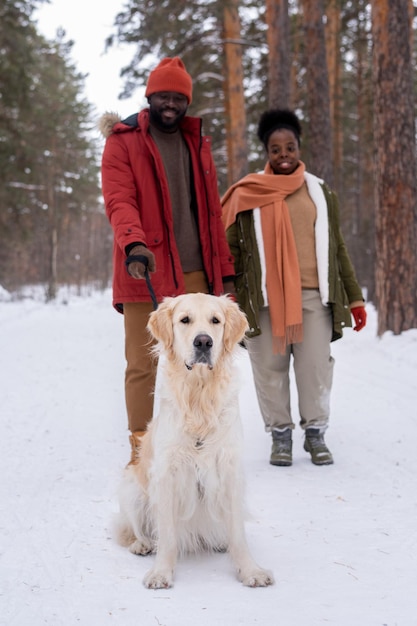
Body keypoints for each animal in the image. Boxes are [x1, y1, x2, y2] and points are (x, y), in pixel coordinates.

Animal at [116, 292, 272, 584]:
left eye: (216, 320)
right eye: (185, 320)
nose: (203, 342)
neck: (199, 396)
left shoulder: (229, 470)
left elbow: (238, 533)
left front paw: (250, 570)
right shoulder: (166, 474)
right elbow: (166, 533)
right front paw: (161, 572)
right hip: (133, 489)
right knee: (133, 528)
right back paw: (141, 544)